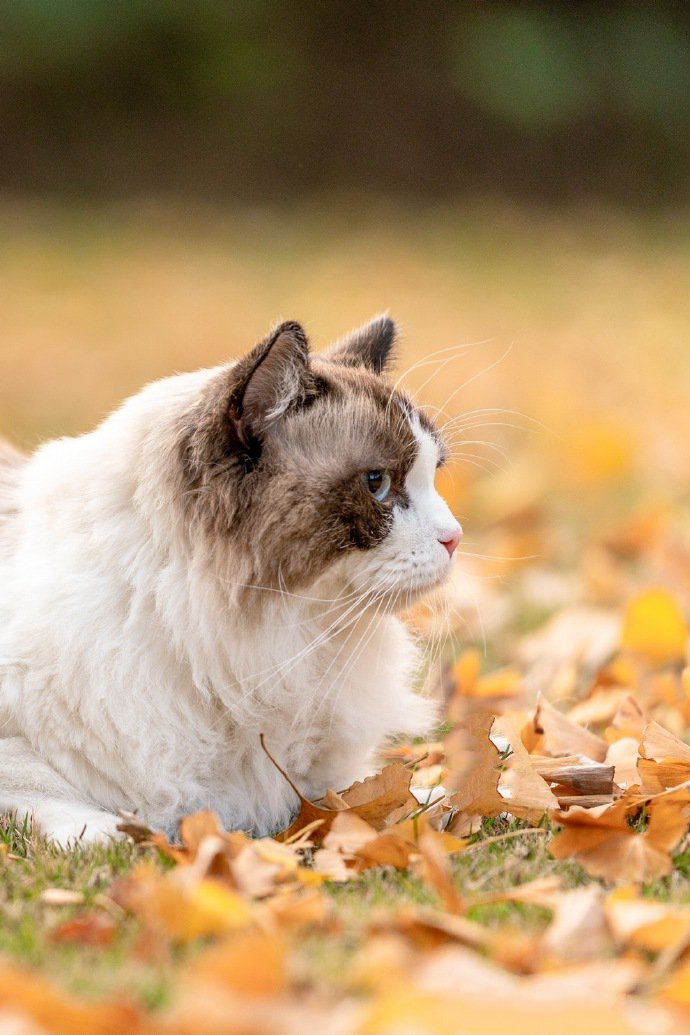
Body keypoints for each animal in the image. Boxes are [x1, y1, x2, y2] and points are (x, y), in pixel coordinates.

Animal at [0, 316, 463, 848]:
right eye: (377, 484)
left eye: (433, 476)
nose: (454, 538)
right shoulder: (17, 745)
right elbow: (44, 788)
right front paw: (111, 834)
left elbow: (362, 799)